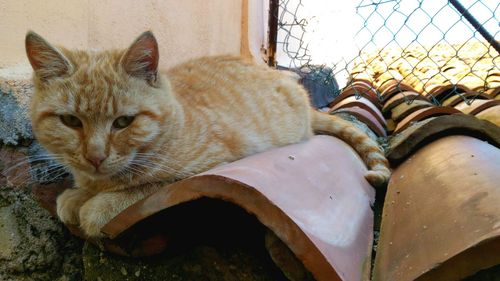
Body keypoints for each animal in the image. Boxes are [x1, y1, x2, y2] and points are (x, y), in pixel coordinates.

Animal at [24, 30, 390, 236]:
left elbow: (143, 187)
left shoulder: (206, 165)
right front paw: (78, 193)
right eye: (71, 121)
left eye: (123, 122)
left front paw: (94, 205)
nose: (95, 156)